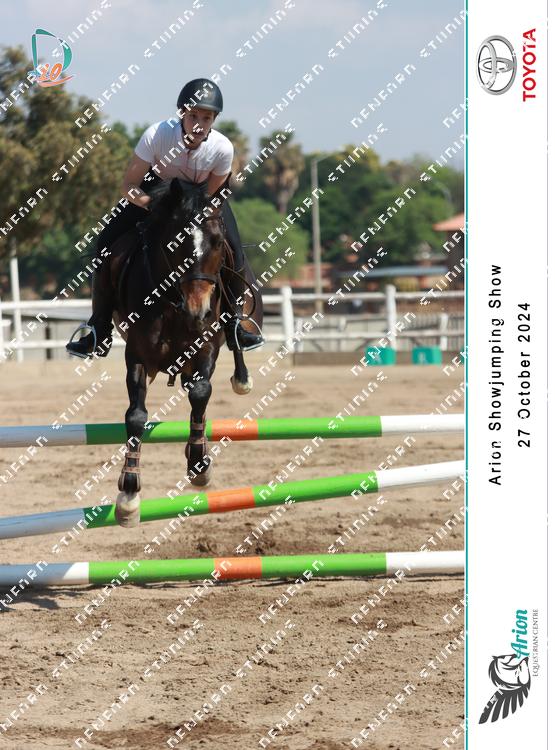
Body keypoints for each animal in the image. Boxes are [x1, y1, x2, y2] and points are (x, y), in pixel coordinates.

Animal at [109, 177, 263, 527]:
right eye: (175, 245)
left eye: (218, 244)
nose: (199, 312)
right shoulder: (136, 355)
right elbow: (136, 416)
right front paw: (129, 493)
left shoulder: (205, 348)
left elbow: (201, 394)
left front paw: (199, 464)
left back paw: (242, 377)